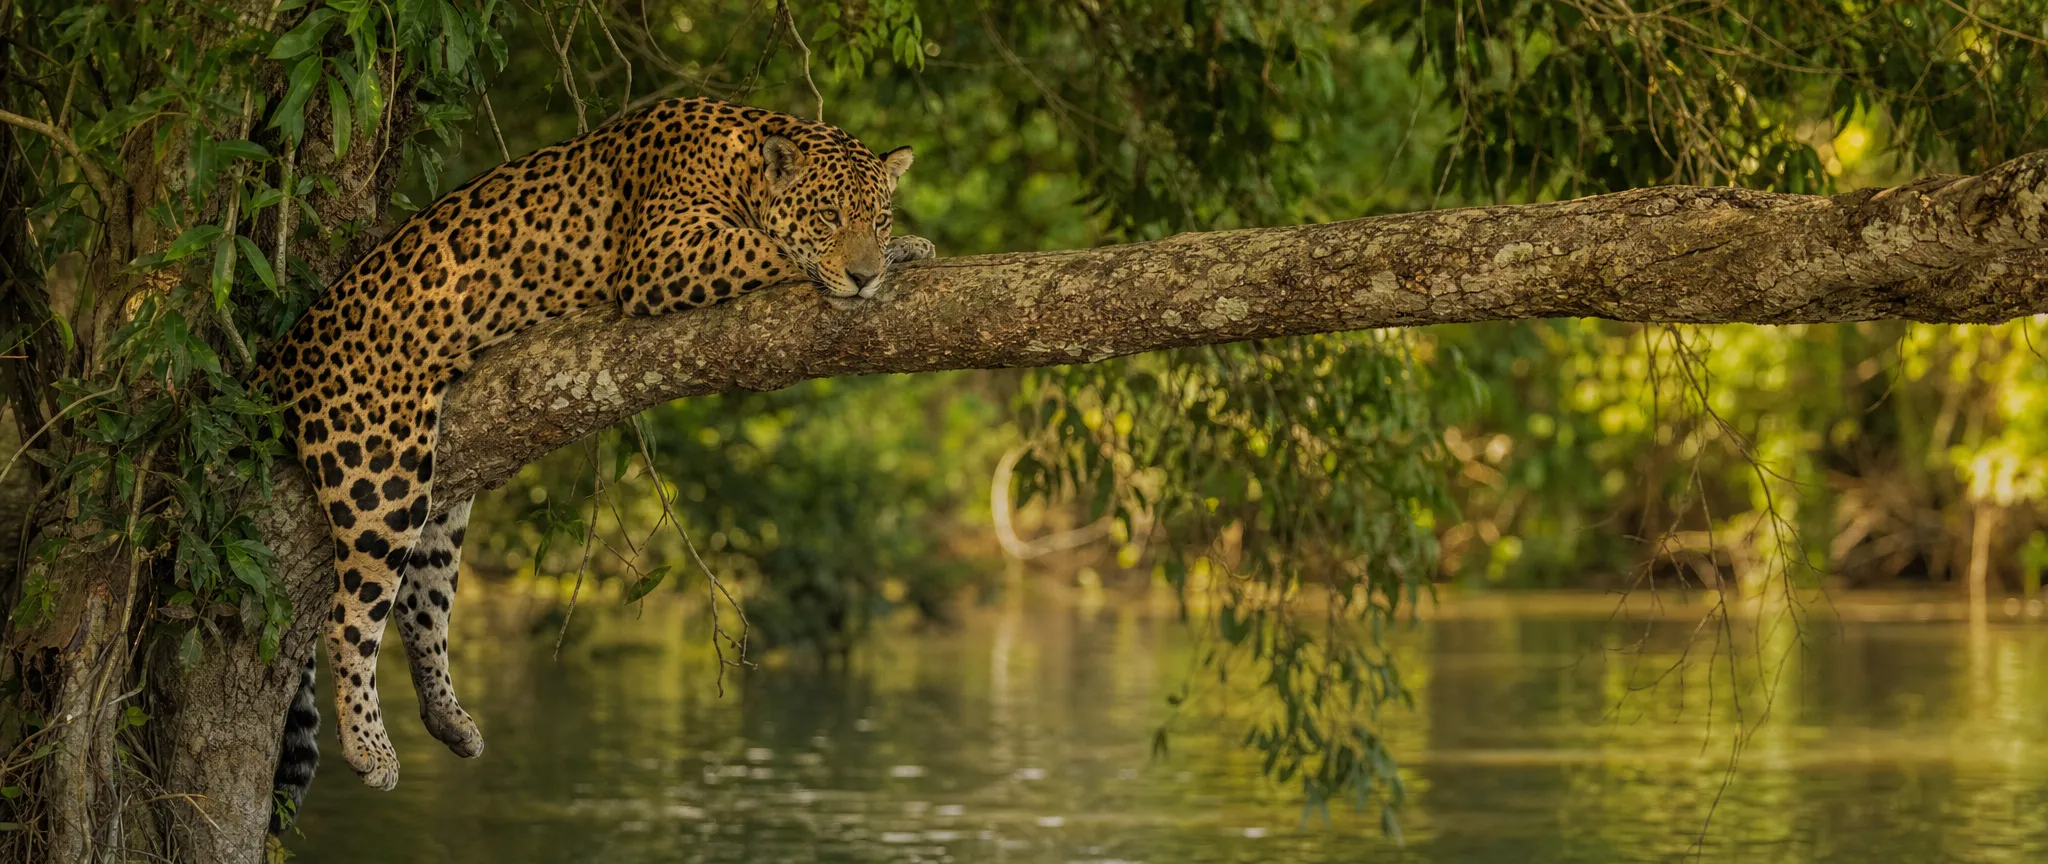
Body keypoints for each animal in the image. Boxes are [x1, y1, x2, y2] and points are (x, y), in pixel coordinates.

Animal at [258, 96, 934, 829]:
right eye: (829, 215)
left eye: (877, 216)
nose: (865, 276)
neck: (739, 157)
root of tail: (279, 357)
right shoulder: (664, 252)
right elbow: (771, 246)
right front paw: (883, 257)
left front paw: (904, 248)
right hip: (379, 472)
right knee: (349, 615)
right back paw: (369, 748)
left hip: (440, 491)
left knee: (422, 605)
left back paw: (449, 720)